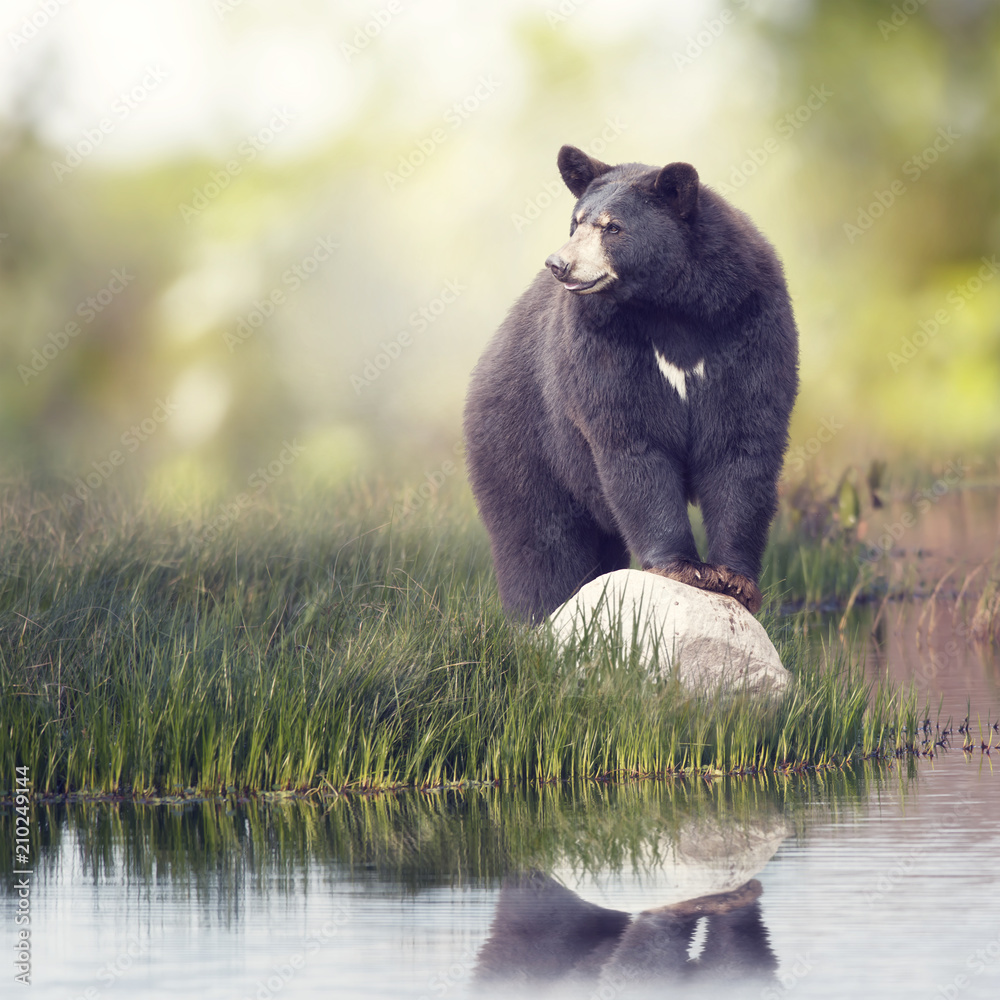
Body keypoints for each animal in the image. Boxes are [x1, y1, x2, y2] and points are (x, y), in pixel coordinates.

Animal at [460, 145, 796, 620]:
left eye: (612, 227)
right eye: (576, 222)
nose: (559, 264)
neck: (670, 306)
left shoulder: (749, 322)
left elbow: (743, 441)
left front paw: (734, 578)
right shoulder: (603, 343)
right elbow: (632, 440)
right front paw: (684, 567)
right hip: (523, 436)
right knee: (539, 538)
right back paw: (539, 613)